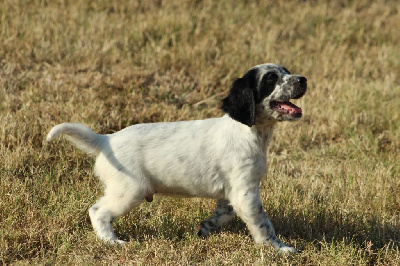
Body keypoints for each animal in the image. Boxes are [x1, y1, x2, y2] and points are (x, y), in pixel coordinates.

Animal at [47, 62, 310, 254]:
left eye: (287, 72)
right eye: (271, 79)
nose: (303, 79)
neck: (247, 131)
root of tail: (106, 140)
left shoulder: (231, 193)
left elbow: (224, 214)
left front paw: (206, 227)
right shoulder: (245, 192)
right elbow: (263, 224)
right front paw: (280, 248)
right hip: (130, 190)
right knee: (98, 211)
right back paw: (112, 242)